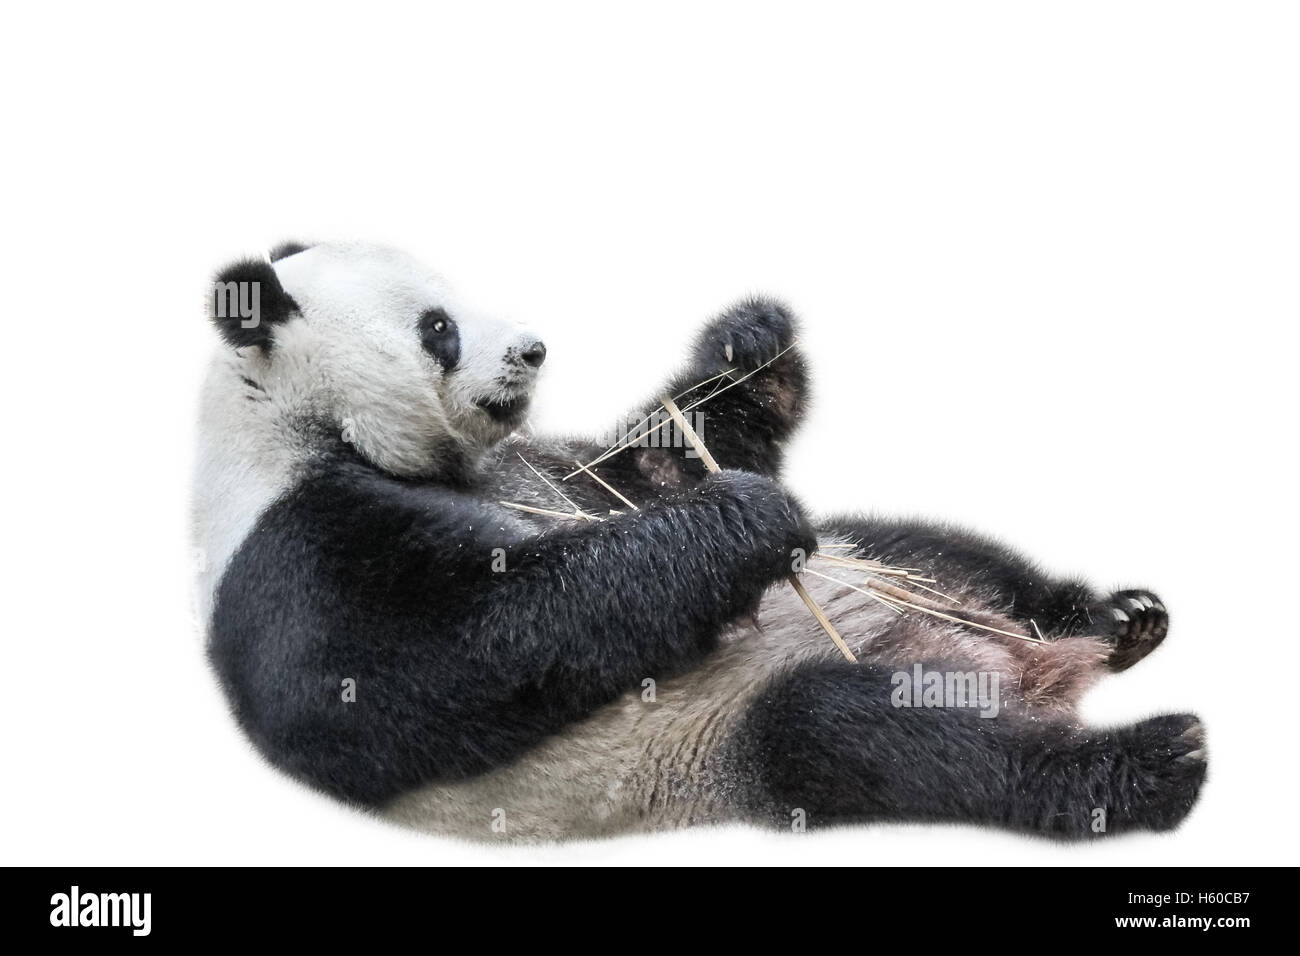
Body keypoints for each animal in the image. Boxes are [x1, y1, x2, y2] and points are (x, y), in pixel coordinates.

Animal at [195, 240, 1207, 841]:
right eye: (437, 327)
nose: (532, 350)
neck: (310, 426)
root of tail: (1021, 671)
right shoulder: (294, 550)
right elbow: (452, 655)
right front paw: (746, 519)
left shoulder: (550, 467)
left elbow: (657, 460)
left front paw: (748, 343)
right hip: (726, 738)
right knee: (873, 737)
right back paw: (1144, 764)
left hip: (884, 565)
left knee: (936, 554)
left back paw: (1113, 619)